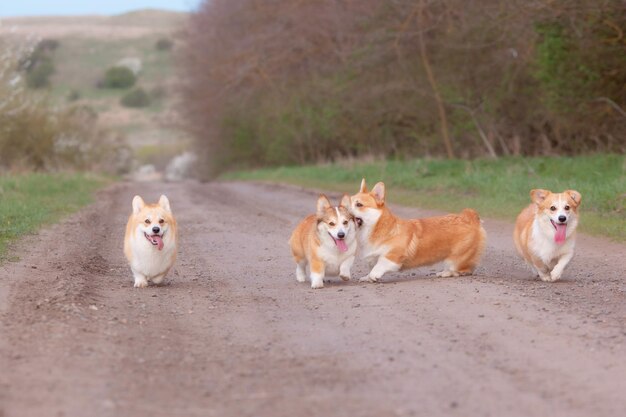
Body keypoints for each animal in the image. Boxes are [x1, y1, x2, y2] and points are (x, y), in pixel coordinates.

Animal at [348, 179, 486, 282]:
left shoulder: (393, 257)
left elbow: (379, 266)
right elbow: (372, 267)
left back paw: (446, 273)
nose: (345, 208)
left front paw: (373, 276)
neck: (374, 229)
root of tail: (469, 217)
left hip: (456, 258)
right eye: (349, 202)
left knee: (462, 269)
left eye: (359, 205)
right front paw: (366, 277)